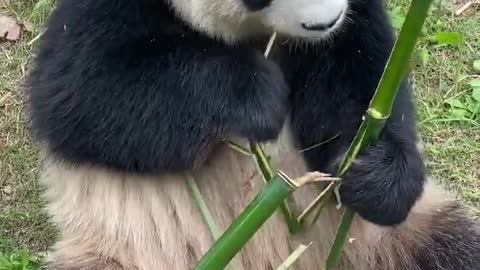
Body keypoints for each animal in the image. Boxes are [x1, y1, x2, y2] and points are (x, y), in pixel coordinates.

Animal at [26, 0, 480, 268]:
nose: (326, 20)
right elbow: (80, 96)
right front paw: (257, 94)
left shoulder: (351, 28)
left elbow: (366, 74)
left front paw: (376, 175)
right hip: (120, 251)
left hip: (397, 239)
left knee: (456, 250)